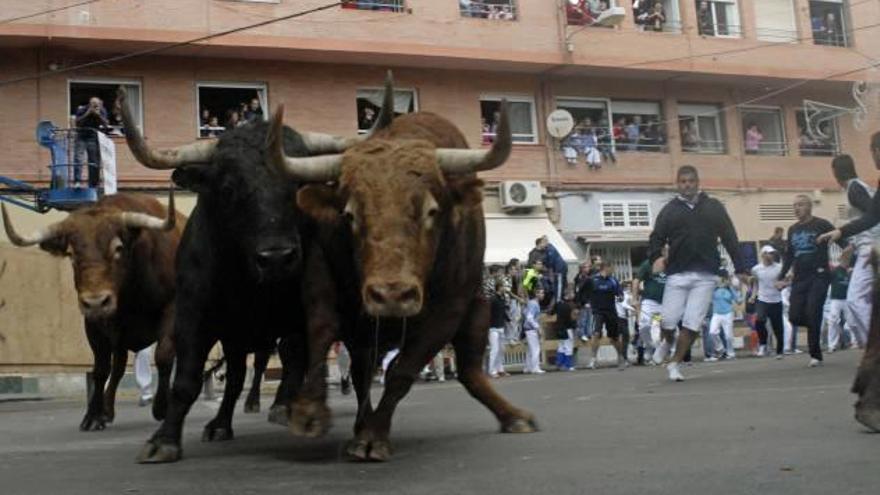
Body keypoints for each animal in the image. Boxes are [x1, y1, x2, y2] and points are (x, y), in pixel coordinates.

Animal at [1, 192, 180, 432]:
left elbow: (164, 356)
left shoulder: (172, 309)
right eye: (70, 253)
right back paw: (107, 410)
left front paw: (162, 407)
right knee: (117, 368)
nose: (96, 302)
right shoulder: (94, 324)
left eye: (118, 248)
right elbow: (101, 369)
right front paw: (94, 416)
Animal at [268, 72, 536, 462]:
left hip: (477, 310)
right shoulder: (321, 278)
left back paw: (514, 416)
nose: (391, 294)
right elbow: (321, 330)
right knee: (363, 373)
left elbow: (402, 371)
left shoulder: (447, 312)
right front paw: (309, 412)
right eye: (350, 214)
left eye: (431, 211)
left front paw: (372, 436)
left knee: (470, 371)